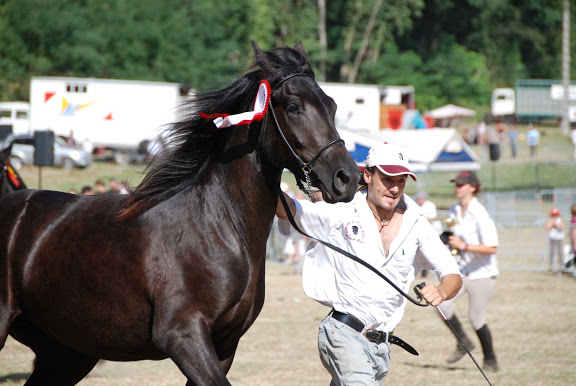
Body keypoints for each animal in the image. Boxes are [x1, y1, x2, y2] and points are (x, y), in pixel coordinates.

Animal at [0, 40, 360, 384]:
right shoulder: (183, 336)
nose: (347, 177)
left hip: (68, 353)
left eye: (331, 105)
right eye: (294, 107)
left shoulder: (223, 346)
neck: (219, 226)